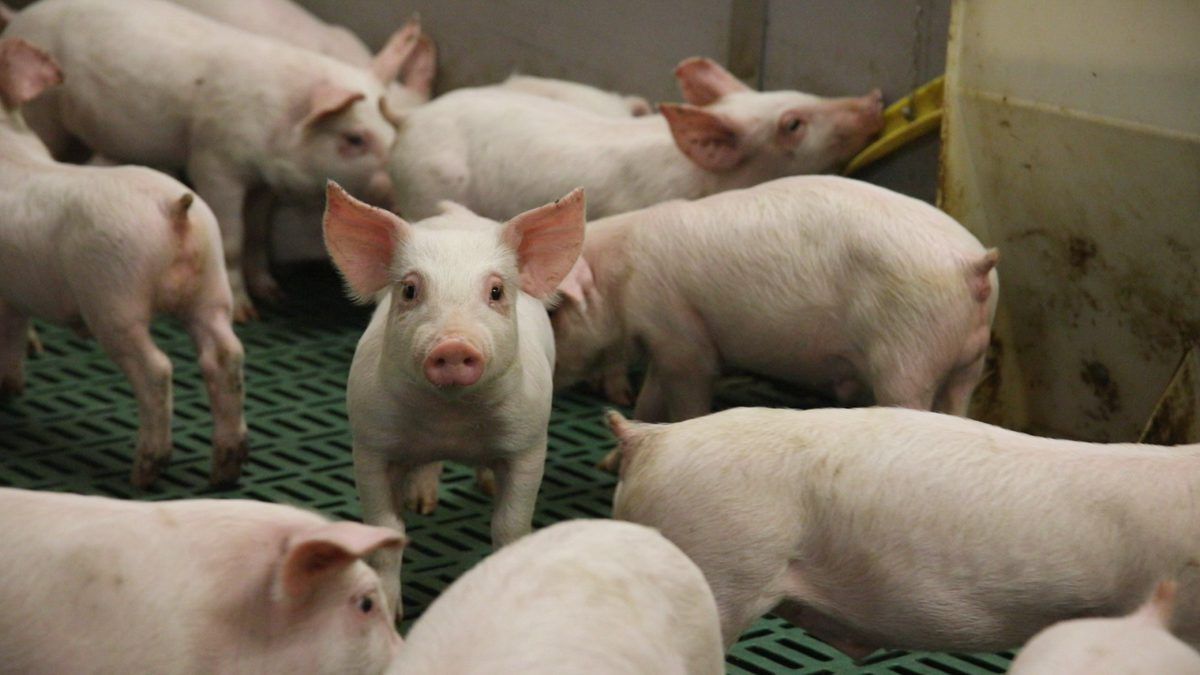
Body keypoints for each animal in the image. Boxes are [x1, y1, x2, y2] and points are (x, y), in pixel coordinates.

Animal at [0, 38, 246, 488]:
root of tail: (174, 210)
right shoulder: (14, 290)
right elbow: (13, 331)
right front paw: (10, 386)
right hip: (212, 286)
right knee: (224, 356)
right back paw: (225, 470)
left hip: (114, 295)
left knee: (156, 368)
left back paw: (144, 471)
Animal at [5, 0, 404, 321]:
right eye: (354, 139)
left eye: (391, 130)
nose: (392, 188)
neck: (274, 120)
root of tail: (21, 17)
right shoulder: (215, 162)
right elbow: (233, 239)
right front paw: (246, 314)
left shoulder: (262, 185)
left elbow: (257, 232)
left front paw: (273, 294)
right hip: (43, 113)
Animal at [322, 182, 585, 620]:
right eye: (410, 290)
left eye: (496, 291)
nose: (454, 345)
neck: (450, 422)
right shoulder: (371, 441)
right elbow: (387, 529)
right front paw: (393, 613)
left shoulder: (529, 441)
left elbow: (510, 526)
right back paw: (423, 503)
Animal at [551, 176, 998, 428]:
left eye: (555, 312)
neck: (624, 278)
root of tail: (971, 265)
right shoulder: (664, 345)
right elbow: (649, 400)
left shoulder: (681, 333)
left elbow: (689, 394)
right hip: (969, 362)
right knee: (958, 404)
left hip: (909, 353)